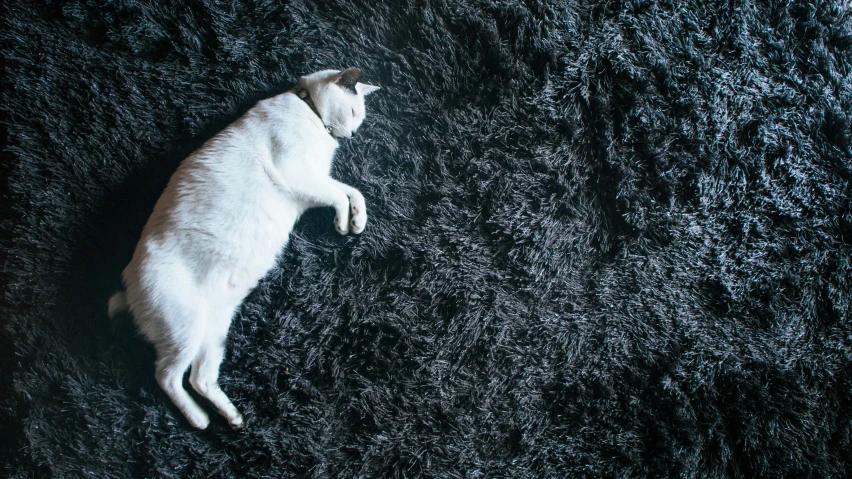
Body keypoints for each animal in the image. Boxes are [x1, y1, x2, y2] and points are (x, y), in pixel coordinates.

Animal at [109, 68, 380, 432]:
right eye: (353, 112)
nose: (352, 133)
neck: (309, 110)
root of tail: (127, 283)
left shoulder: (314, 183)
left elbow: (351, 191)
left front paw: (357, 221)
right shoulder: (298, 174)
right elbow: (340, 195)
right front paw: (342, 223)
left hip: (214, 330)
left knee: (199, 379)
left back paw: (233, 417)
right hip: (185, 328)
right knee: (166, 376)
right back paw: (199, 420)